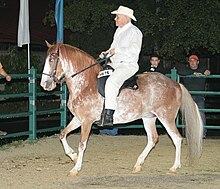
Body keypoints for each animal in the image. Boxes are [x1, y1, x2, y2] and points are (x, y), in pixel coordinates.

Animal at [40, 40, 203, 176]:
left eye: (52, 59)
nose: (44, 84)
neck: (85, 84)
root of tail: (176, 84)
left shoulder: (87, 122)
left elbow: (82, 144)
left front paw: (76, 168)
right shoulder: (78, 119)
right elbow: (62, 134)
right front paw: (73, 156)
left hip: (166, 117)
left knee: (177, 138)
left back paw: (174, 167)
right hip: (148, 117)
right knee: (153, 139)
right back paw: (138, 164)